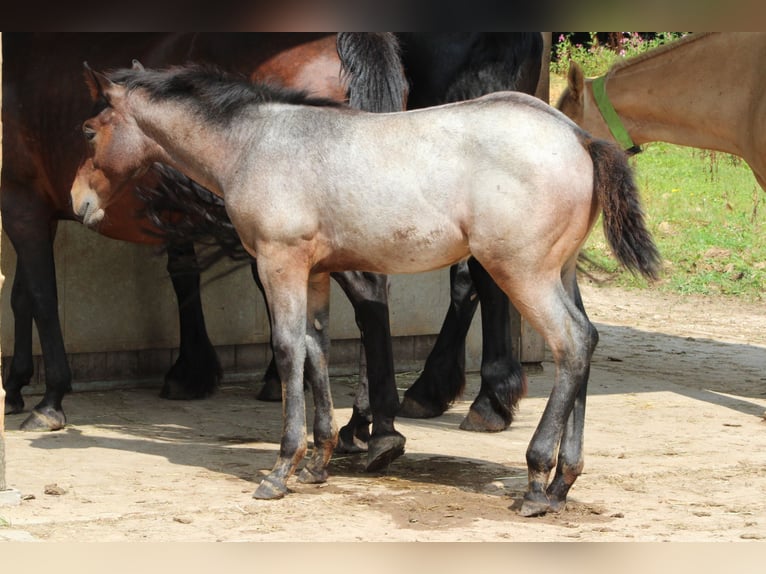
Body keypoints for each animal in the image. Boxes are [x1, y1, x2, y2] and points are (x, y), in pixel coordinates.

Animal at [70, 65, 660, 520]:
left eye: (89, 131)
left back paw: (538, 482)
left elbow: (287, 351)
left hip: (522, 272)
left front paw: (281, 468)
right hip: (561, 272)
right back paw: (563, 482)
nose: (79, 202)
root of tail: (578, 137)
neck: (258, 144)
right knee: (587, 340)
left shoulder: (280, 262)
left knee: (571, 344)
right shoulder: (313, 273)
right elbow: (316, 352)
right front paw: (317, 462)